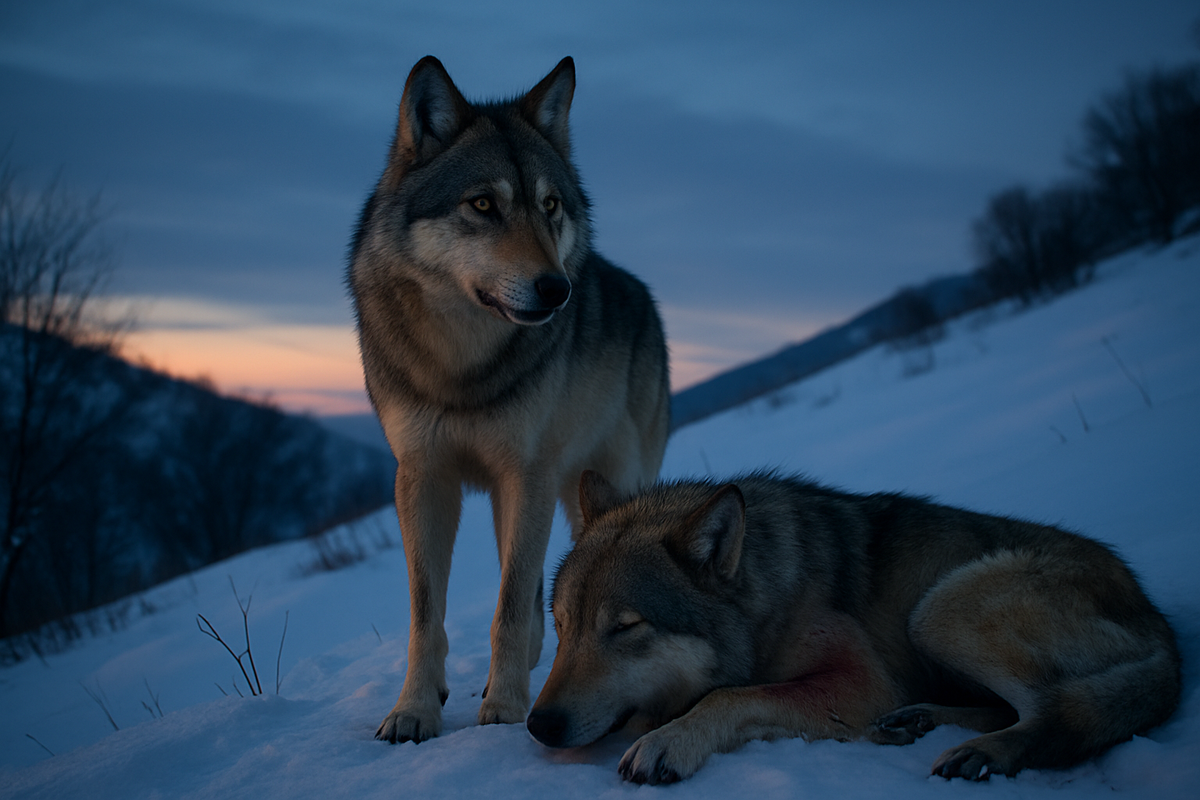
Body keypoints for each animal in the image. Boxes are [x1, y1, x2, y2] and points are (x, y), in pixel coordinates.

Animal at [348, 57, 670, 743]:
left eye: (550, 206)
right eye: (483, 205)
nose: (558, 289)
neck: (461, 366)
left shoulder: (528, 474)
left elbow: (510, 606)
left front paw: (503, 710)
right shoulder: (423, 478)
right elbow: (426, 614)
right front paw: (414, 710)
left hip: (592, 484)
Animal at [528, 471, 1181, 783]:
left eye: (625, 627)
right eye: (562, 627)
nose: (538, 725)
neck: (768, 602)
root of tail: (1162, 625)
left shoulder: (861, 682)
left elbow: (732, 697)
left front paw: (669, 741)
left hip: (941, 609)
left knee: (1053, 714)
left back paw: (980, 753)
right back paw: (919, 723)